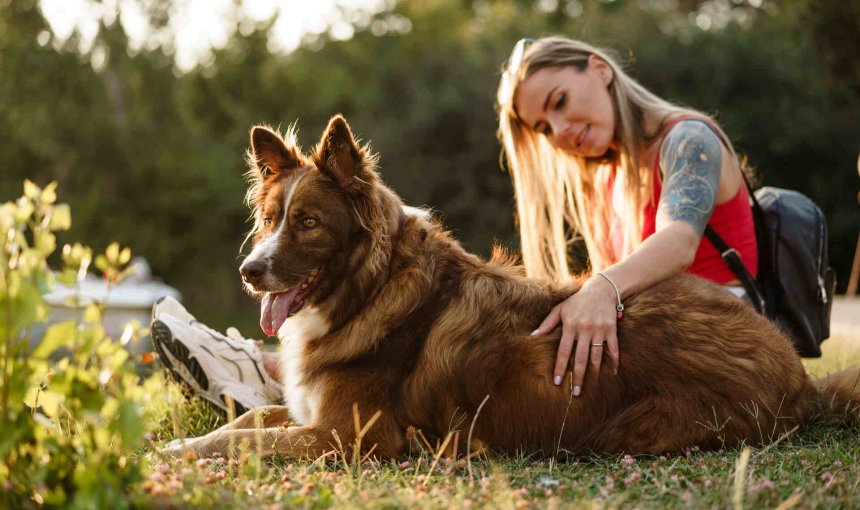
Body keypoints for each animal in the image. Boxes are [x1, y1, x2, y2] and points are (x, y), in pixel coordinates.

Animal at [165, 116, 856, 462]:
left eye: (308, 223)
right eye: (269, 219)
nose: (250, 271)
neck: (371, 287)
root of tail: (800, 378)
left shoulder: (355, 436)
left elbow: (246, 438)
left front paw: (178, 452)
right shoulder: (312, 413)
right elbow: (252, 418)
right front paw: (183, 439)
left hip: (633, 423)